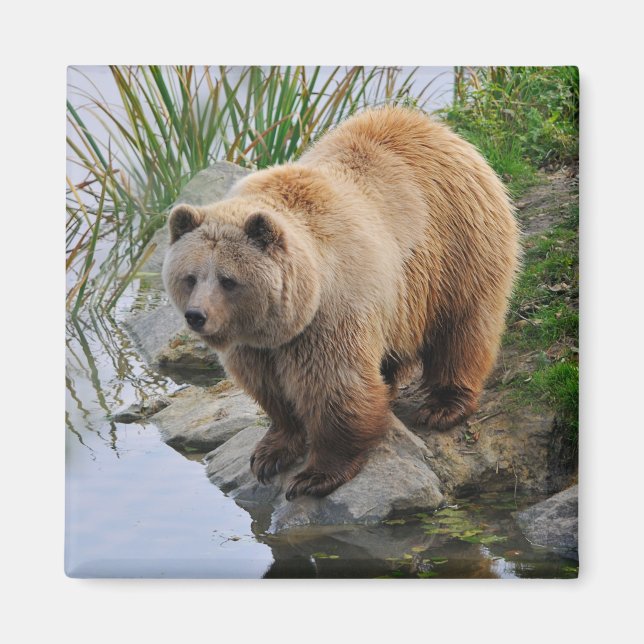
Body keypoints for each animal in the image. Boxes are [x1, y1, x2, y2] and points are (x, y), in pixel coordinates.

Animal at [162, 106, 520, 500]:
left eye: (228, 280)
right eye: (190, 277)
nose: (197, 316)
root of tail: (434, 127)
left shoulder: (330, 314)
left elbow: (335, 388)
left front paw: (315, 475)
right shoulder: (255, 344)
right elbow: (270, 389)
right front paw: (270, 453)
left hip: (456, 246)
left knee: (462, 327)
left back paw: (444, 405)